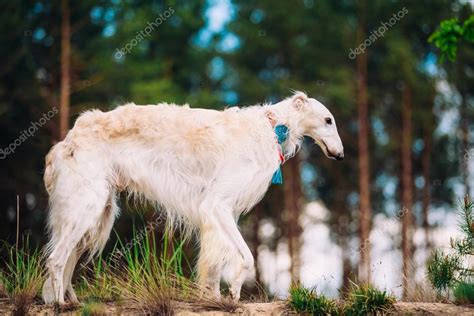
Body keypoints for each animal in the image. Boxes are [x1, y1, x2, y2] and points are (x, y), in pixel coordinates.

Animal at [41, 90, 344, 304]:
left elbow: (214, 265)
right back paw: (59, 304)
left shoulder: (222, 213)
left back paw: (72, 302)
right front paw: (234, 291)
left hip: (97, 215)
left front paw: (215, 298)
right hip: (87, 208)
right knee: (56, 260)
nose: (340, 155)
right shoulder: (217, 205)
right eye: (328, 120)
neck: (271, 127)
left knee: (66, 262)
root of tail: (67, 140)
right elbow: (246, 258)